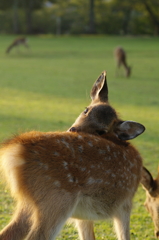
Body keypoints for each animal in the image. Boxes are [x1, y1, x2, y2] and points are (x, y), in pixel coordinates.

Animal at [0, 71, 145, 240]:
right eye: (86, 110)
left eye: (101, 131)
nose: (73, 129)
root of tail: (16, 149)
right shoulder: (125, 203)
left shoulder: (88, 215)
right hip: (57, 198)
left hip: (33, 203)